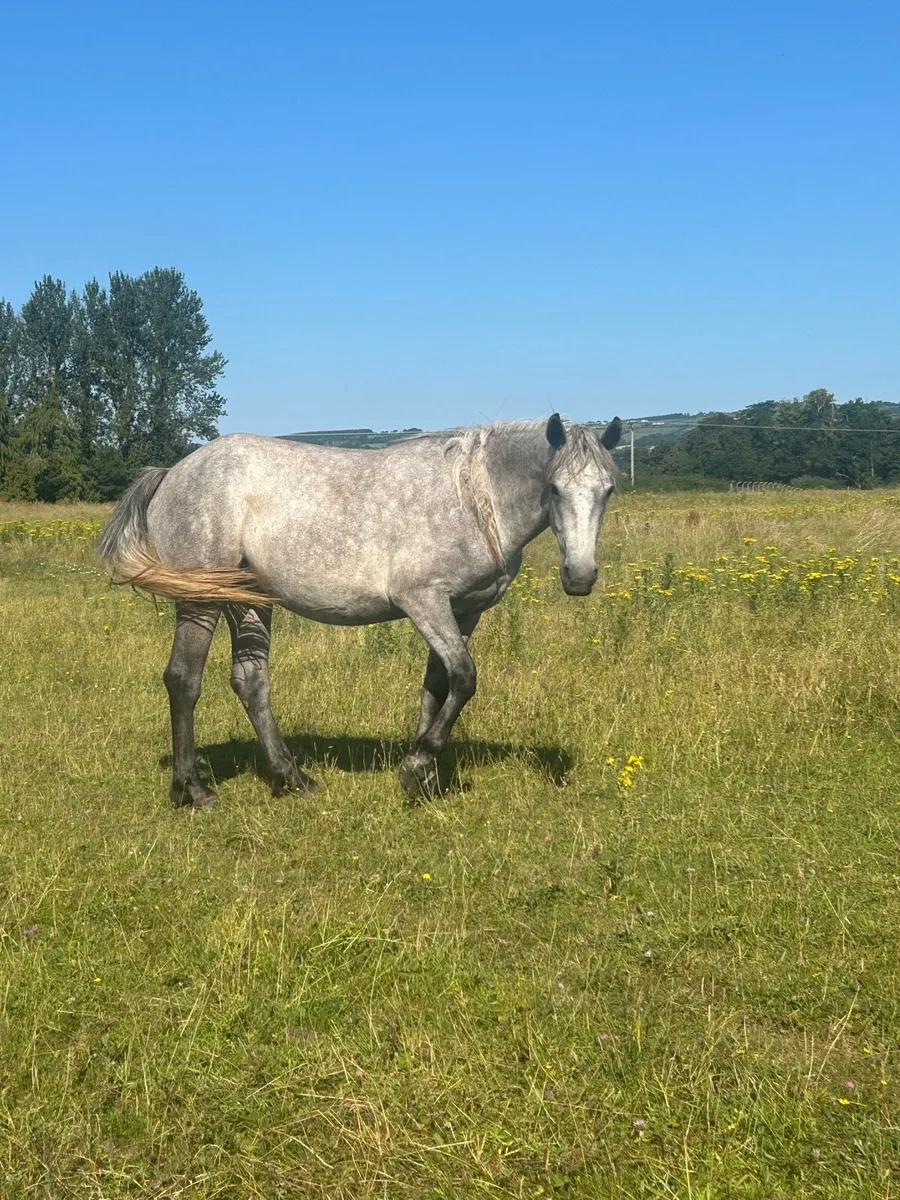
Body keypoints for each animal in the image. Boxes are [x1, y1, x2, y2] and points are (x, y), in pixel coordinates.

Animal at [98, 414, 621, 806]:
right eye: (554, 488)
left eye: (608, 490)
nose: (580, 577)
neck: (473, 500)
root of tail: (172, 473)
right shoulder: (423, 601)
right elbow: (465, 678)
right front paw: (418, 766)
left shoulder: (463, 612)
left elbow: (439, 688)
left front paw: (423, 775)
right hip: (201, 599)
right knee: (183, 679)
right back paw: (193, 790)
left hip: (247, 601)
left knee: (250, 681)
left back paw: (293, 779)